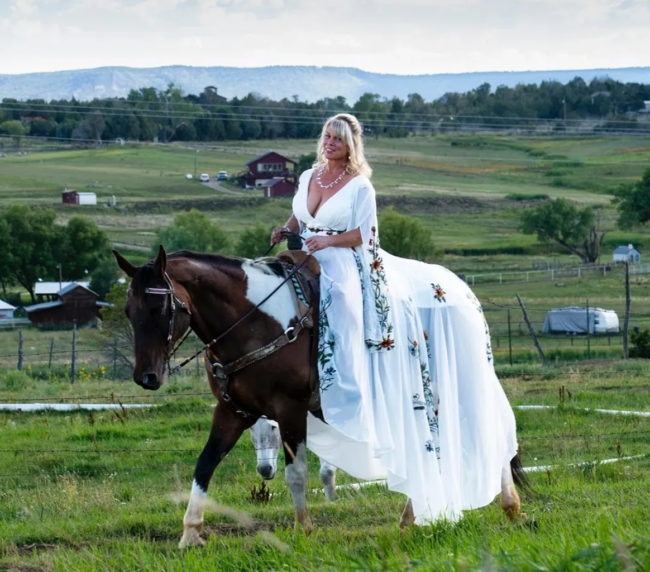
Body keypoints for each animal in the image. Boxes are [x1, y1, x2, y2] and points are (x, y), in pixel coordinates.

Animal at [113, 245, 529, 549]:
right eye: (129, 310)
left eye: (161, 307)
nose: (146, 377)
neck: (254, 320)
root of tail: (462, 292)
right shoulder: (234, 411)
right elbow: (205, 464)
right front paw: (190, 533)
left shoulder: (290, 409)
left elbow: (296, 473)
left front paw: (304, 528)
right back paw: (413, 517)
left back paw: (509, 508)